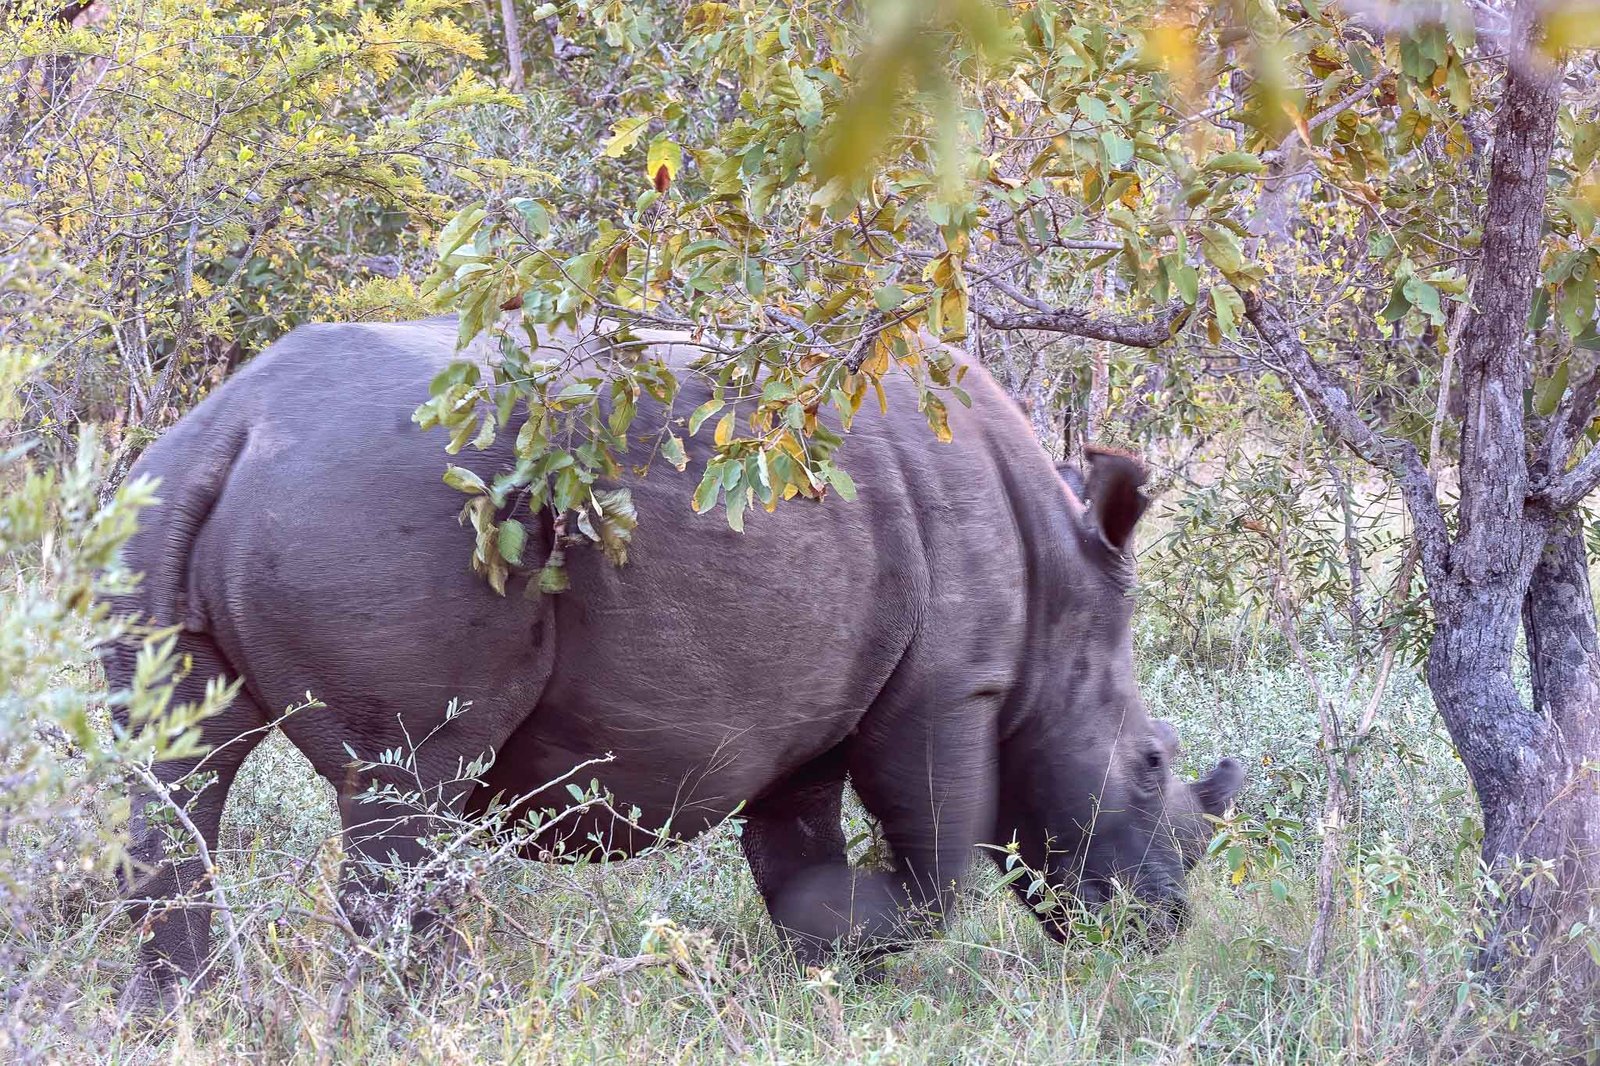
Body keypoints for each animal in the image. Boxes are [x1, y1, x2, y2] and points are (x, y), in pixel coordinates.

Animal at [103, 316, 1243, 1002]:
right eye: (1152, 763)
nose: (1162, 930)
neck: (1059, 594)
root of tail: (237, 428)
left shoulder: (814, 694)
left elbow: (796, 853)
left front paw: (827, 960)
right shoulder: (953, 685)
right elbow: (939, 865)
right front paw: (864, 936)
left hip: (160, 501)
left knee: (177, 780)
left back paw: (178, 1012)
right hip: (373, 508)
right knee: (412, 784)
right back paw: (427, 1012)